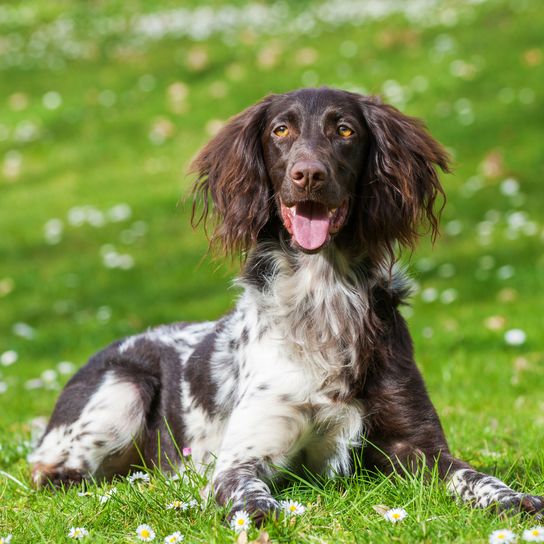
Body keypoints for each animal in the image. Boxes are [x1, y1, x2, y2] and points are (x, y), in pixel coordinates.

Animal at [29, 87, 544, 520]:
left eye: (345, 130)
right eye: (281, 131)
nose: (308, 174)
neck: (323, 298)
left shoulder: (418, 448)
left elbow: (475, 476)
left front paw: (513, 498)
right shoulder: (244, 455)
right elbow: (246, 490)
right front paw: (261, 512)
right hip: (123, 389)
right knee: (51, 472)